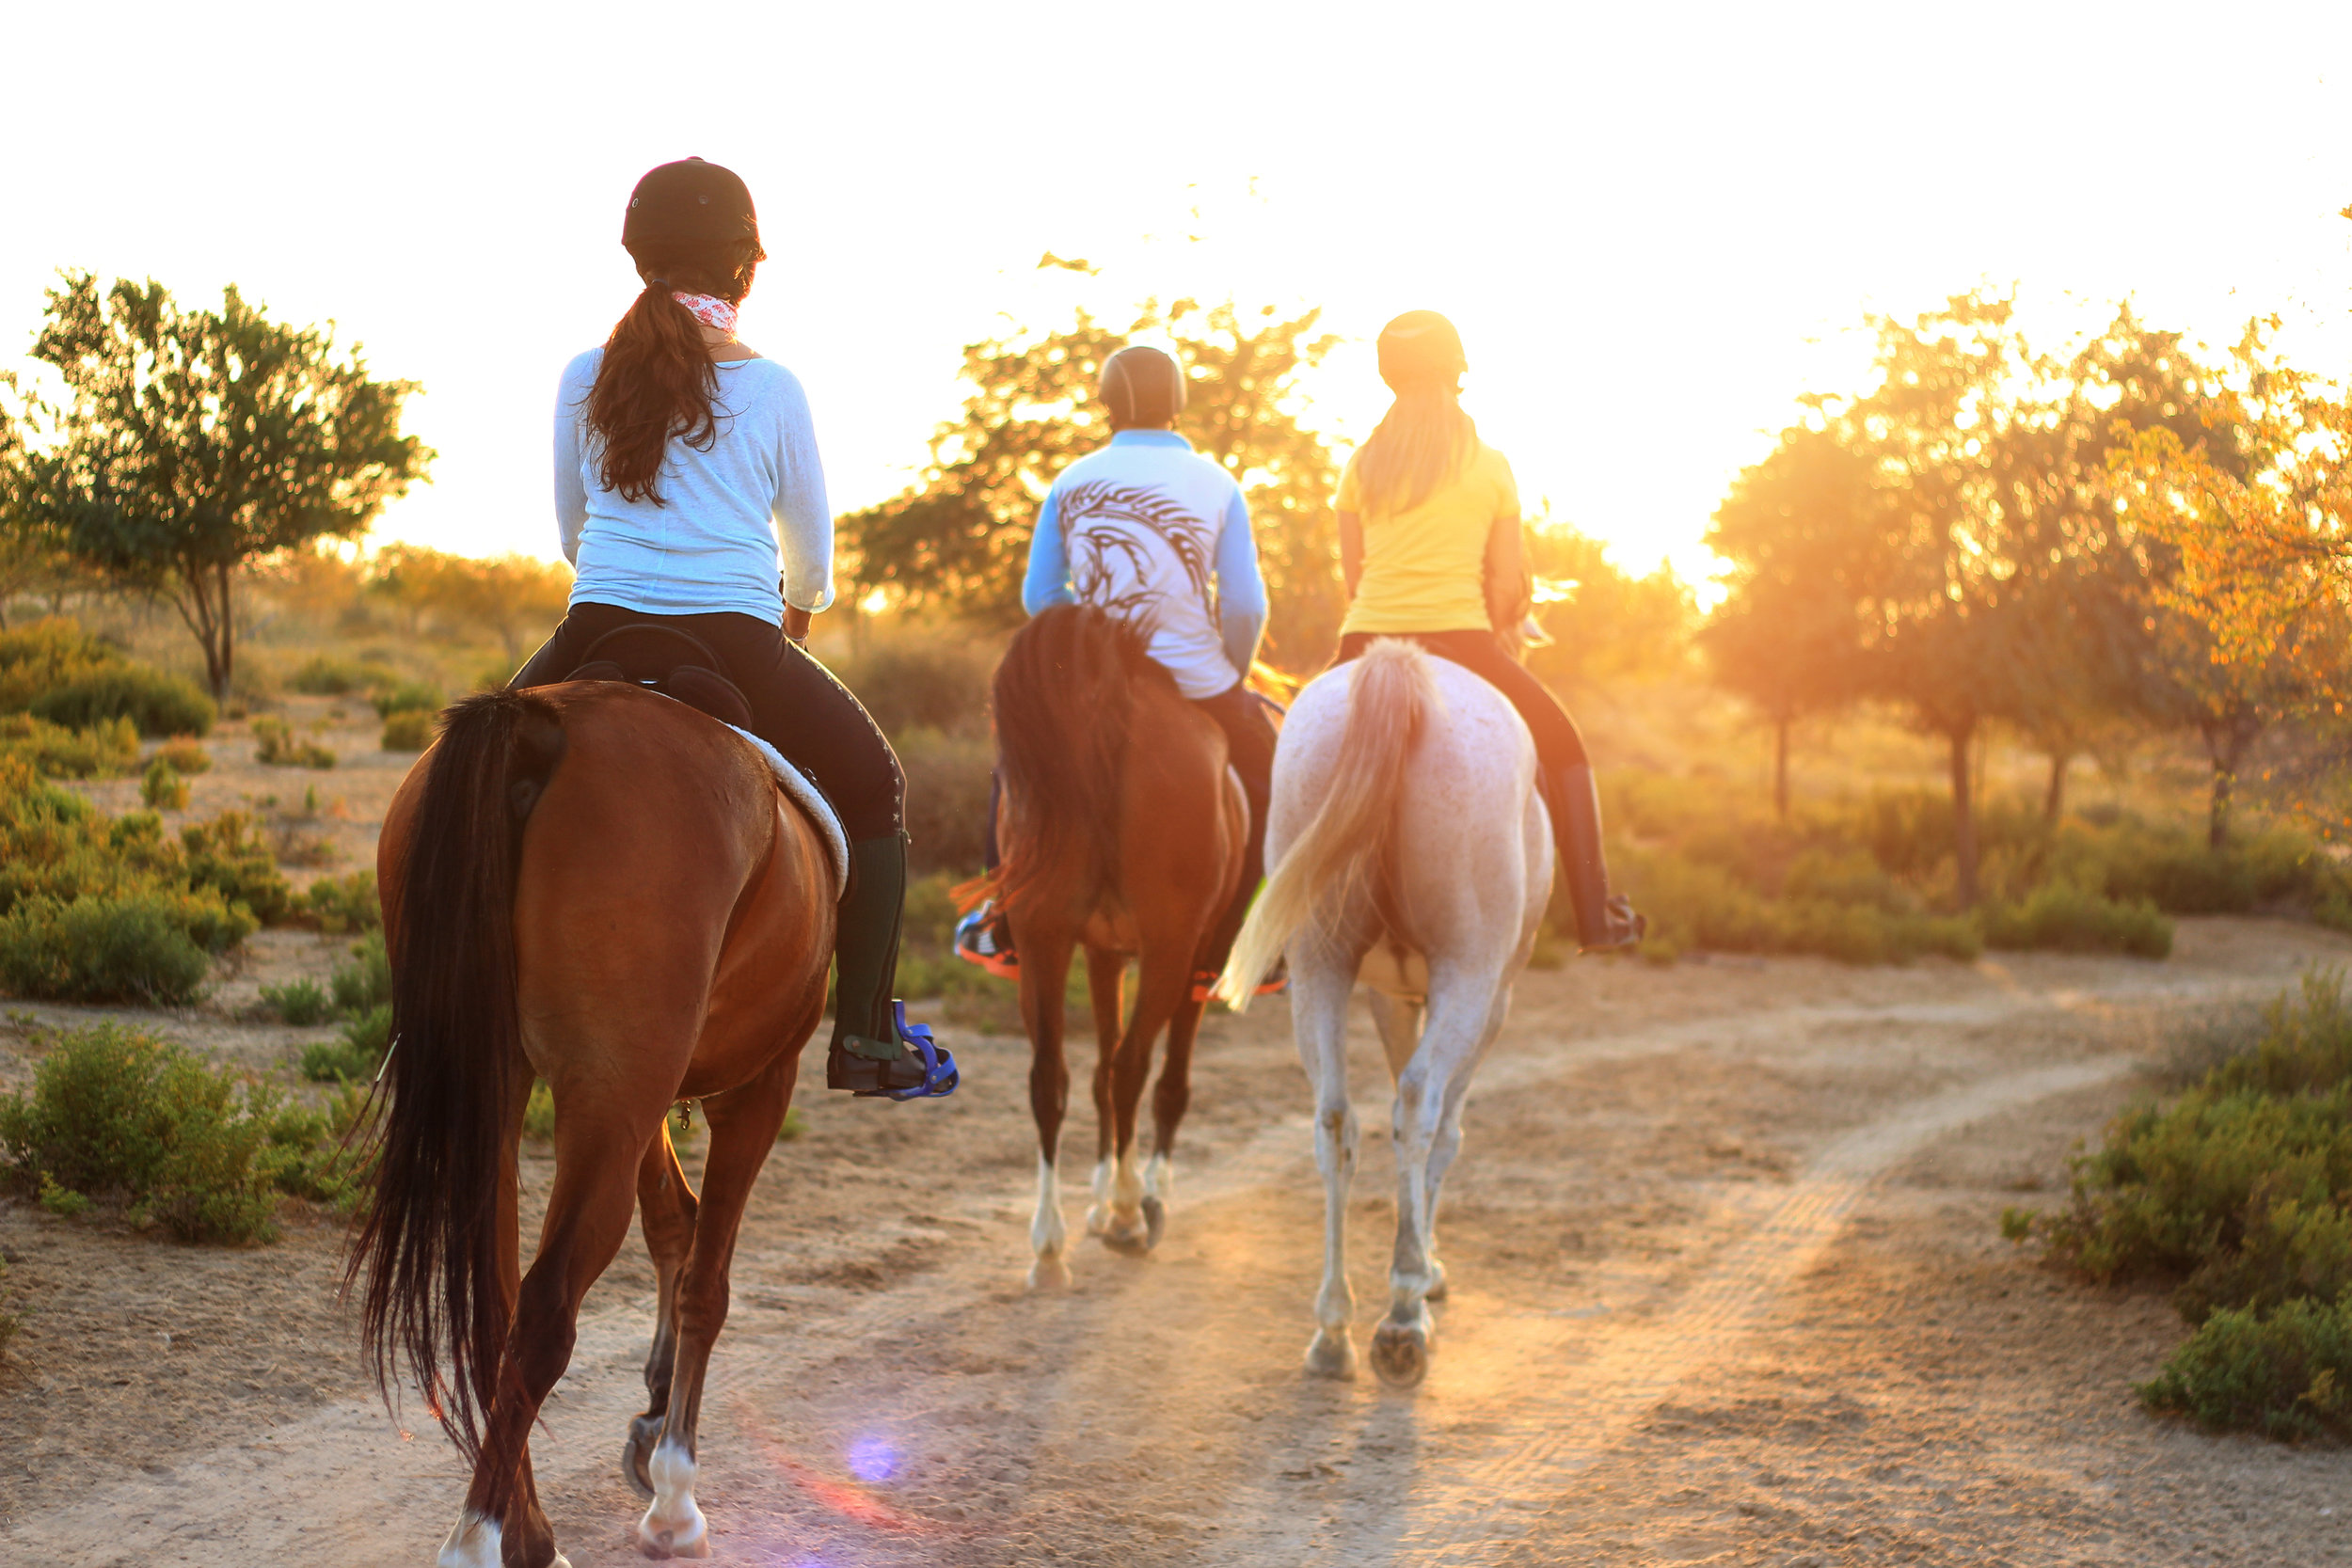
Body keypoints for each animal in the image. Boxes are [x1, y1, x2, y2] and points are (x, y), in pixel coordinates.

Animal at [354, 680, 853, 1566]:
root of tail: (540, 717)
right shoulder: (755, 1086)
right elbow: (705, 1280)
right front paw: (675, 1493)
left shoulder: (642, 1095)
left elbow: (675, 1224)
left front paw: (653, 1419)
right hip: (612, 1099)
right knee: (546, 1312)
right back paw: (478, 1536)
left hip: (517, 1092)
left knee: (495, 1303)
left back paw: (528, 1531)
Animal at [981, 604, 1250, 1288]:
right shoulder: (1191, 958)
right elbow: (1165, 1082)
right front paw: (1136, 1194)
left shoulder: (1100, 952)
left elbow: (1097, 1069)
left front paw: (1100, 1197)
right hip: (1171, 948)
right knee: (1134, 1067)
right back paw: (1132, 1214)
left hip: (1042, 941)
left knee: (1051, 1075)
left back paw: (1049, 1247)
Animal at [1216, 637, 1552, 1388]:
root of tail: (1398, 667)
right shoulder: (1493, 1000)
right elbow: (1444, 1129)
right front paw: (1427, 1268)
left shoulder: (1388, 993)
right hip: (1469, 973)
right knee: (1422, 1106)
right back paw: (1402, 1319)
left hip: (1319, 963)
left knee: (1336, 1117)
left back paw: (1333, 1331)